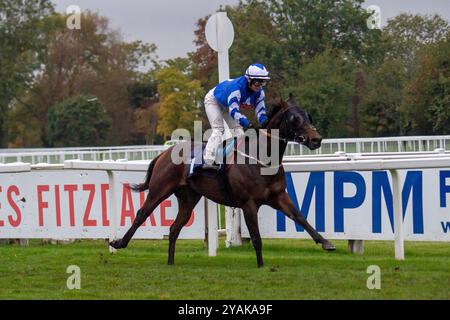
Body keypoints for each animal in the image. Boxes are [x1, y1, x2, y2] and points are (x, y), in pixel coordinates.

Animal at [110, 100, 334, 268]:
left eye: (309, 116)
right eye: (294, 118)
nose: (316, 139)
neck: (262, 159)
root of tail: (164, 153)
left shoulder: (278, 196)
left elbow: (300, 217)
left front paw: (326, 243)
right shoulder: (248, 204)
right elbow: (256, 237)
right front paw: (261, 266)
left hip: (188, 198)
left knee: (174, 228)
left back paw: (170, 262)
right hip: (160, 189)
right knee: (142, 213)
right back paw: (118, 243)